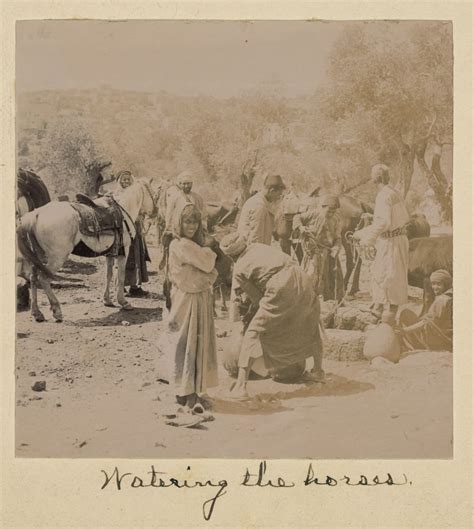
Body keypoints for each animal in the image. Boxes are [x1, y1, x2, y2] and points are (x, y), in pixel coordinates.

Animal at [15, 178, 154, 322]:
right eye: (152, 192)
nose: (155, 212)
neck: (124, 208)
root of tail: (35, 215)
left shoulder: (110, 254)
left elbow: (108, 275)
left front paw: (107, 300)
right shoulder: (123, 252)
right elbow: (120, 276)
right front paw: (123, 302)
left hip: (37, 257)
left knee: (33, 278)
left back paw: (37, 313)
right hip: (57, 257)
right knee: (43, 278)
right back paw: (56, 311)